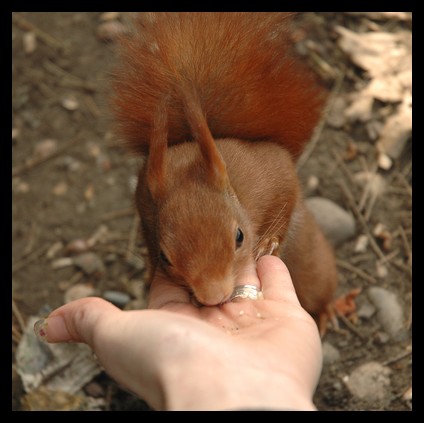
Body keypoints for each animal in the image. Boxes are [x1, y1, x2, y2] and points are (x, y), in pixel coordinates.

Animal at [110, 11, 338, 318]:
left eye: (239, 237)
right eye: (164, 257)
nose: (213, 296)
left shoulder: (276, 172)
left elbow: (286, 203)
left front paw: (269, 242)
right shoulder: (143, 203)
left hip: (314, 266)